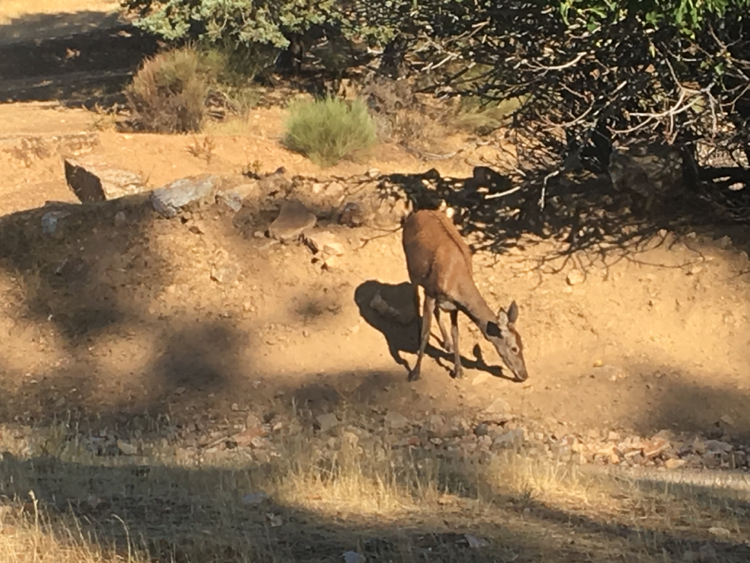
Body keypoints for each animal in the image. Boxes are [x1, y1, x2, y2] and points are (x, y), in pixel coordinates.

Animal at [402, 210, 532, 384]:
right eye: (514, 348)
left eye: (522, 345)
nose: (524, 375)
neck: (455, 279)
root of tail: (417, 212)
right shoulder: (431, 292)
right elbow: (425, 333)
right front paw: (415, 372)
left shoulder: (454, 305)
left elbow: (456, 334)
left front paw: (458, 370)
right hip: (412, 272)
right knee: (415, 300)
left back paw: (447, 343)